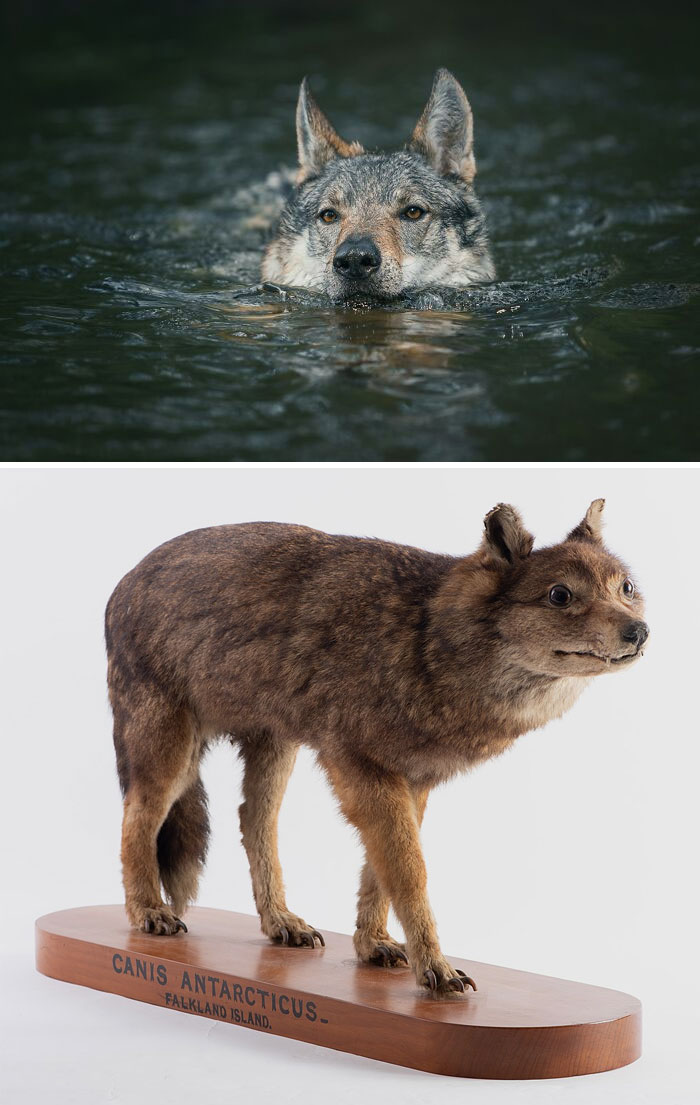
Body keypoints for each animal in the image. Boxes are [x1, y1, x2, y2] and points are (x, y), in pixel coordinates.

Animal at [106, 499, 648, 996]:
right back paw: (149, 912)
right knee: (136, 816)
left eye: (625, 588)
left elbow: (380, 873)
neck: (425, 637)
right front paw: (435, 969)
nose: (639, 631)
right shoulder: (363, 771)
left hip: (275, 748)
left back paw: (281, 921)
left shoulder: (412, 781)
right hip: (171, 756)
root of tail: (122, 583)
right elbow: (408, 873)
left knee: (252, 820)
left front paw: (375, 945)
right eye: (560, 595)